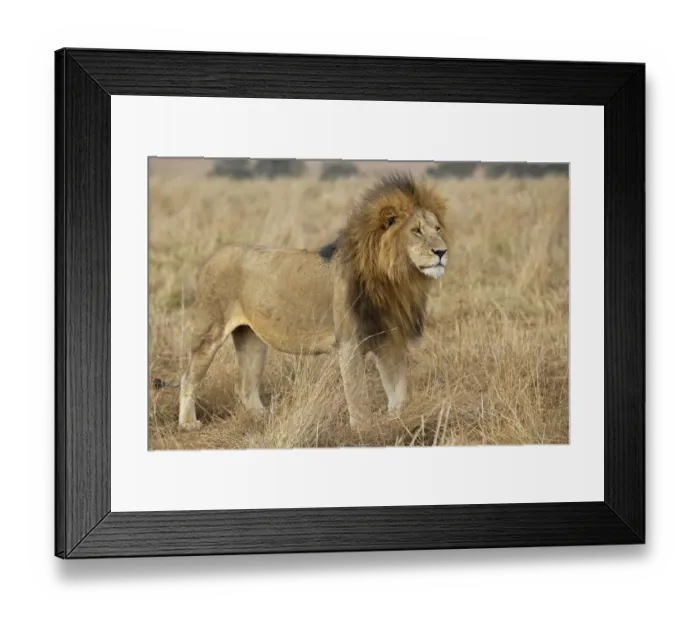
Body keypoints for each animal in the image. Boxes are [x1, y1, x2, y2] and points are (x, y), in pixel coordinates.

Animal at [158, 172, 449, 431]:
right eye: (416, 231)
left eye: (437, 229)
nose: (442, 251)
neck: (397, 279)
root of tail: (213, 256)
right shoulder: (350, 342)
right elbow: (358, 396)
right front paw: (363, 430)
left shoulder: (390, 340)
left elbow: (398, 392)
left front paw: (398, 421)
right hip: (210, 331)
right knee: (188, 378)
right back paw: (188, 424)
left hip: (252, 339)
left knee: (245, 386)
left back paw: (263, 418)